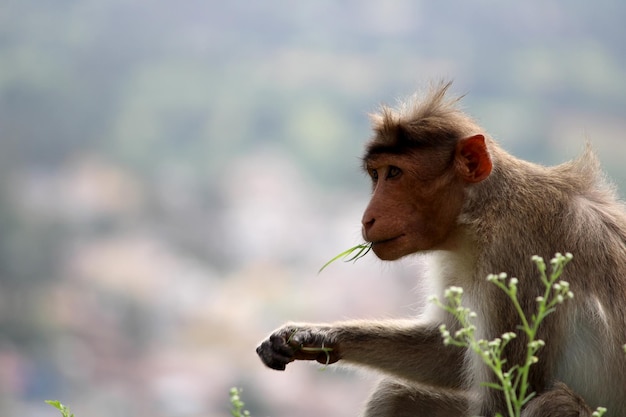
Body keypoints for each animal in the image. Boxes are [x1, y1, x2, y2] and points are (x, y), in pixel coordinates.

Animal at [255, 82, 624, 416]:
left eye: (394, 173)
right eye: (376, 174)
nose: (367, 217)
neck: (481, 213)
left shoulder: (517, 258)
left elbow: (504, 401)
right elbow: (450, 354)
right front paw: (314, 335)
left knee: (554, 403)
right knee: (395, 394)